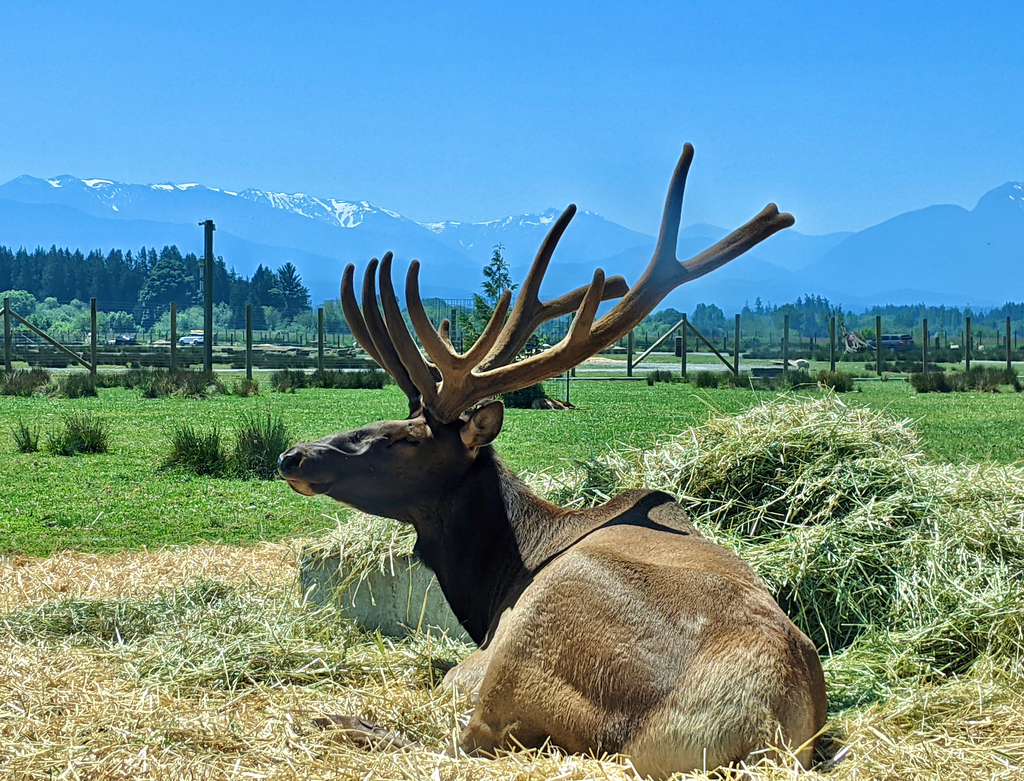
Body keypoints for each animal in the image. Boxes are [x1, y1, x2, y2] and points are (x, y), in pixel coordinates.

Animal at [278, 145, 823, 777]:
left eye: (406, 438)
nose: (294, 456)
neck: (493, 580)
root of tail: (762, 731)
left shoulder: (485, 649)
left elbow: (447, 688)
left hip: (533, 638)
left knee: (462, 740)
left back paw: (337, 720)